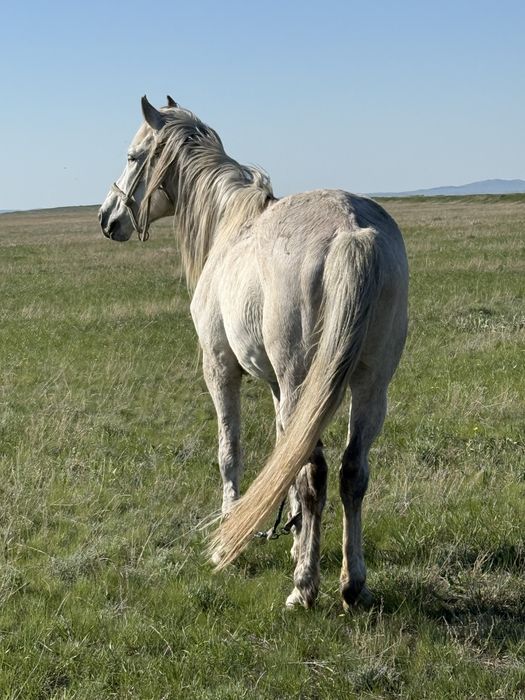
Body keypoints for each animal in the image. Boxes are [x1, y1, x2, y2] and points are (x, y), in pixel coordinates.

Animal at [99, 96, 409, 609]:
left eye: (132, 156)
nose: (107, 218)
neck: (231, 227)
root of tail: (352, 232)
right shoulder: (277, 388)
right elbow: (286, 453)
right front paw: (294, 535)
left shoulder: (220, 369)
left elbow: (231, 451)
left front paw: (230, 536)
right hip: (369, 386)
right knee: (351, 472)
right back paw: (352, 584)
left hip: (303, 381)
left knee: (316, 474)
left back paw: (304, 588)